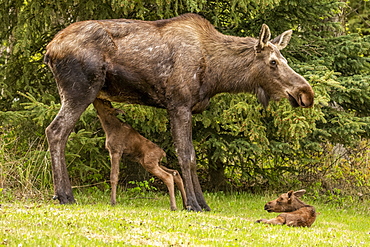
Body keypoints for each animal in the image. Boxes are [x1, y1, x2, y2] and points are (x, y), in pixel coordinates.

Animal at [44, 12, 316, 211]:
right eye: (273, 62)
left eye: (285, 60)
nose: (306, 93)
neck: (217, 76)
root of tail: (49, 50)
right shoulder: (178, 104)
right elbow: (187, 155)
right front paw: (193, 204)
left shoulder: (187, 109)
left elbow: (191, 156)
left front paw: (201, 203)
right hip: (79, 90)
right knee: (55, 131)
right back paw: (64, 195)